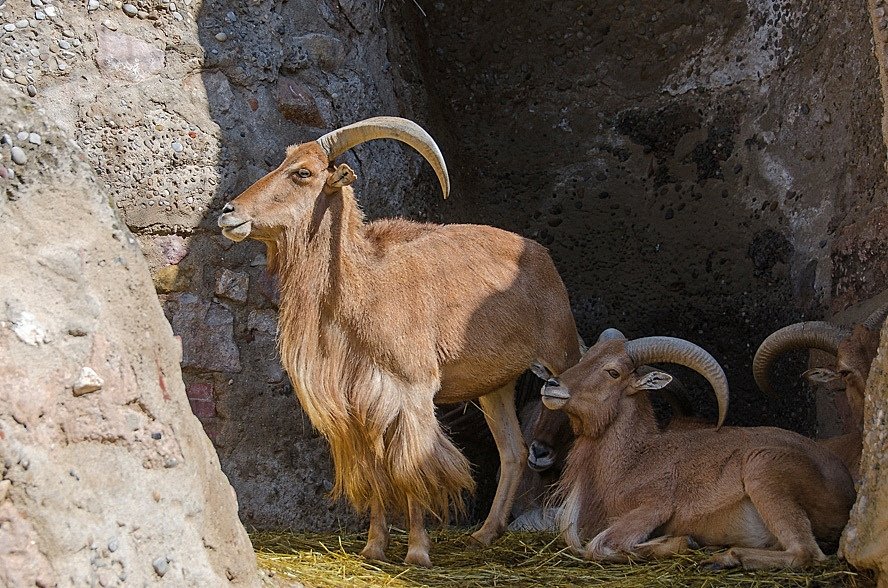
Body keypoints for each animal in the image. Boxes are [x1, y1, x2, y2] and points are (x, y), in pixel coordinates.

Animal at [217, 116, 584, 564]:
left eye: (303, 173)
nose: (229, 213)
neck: (360, 287)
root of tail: (542, 256)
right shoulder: (356, 405)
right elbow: (375, 476)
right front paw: (374, 547)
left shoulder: (411, 393)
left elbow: (412, 471)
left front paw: (417, 552)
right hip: (495, 386)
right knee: (512, 452)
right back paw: (484, 534)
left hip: (562, 358)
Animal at [532, 336, 856, 568]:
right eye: (584, 359)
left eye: (613, 372)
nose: (551, 385)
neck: (633, 460)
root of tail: (847, 488)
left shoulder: (654, 507)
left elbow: (597, 546)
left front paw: (682, 542)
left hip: (763, 471)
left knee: (806, 553)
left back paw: (725, 558)